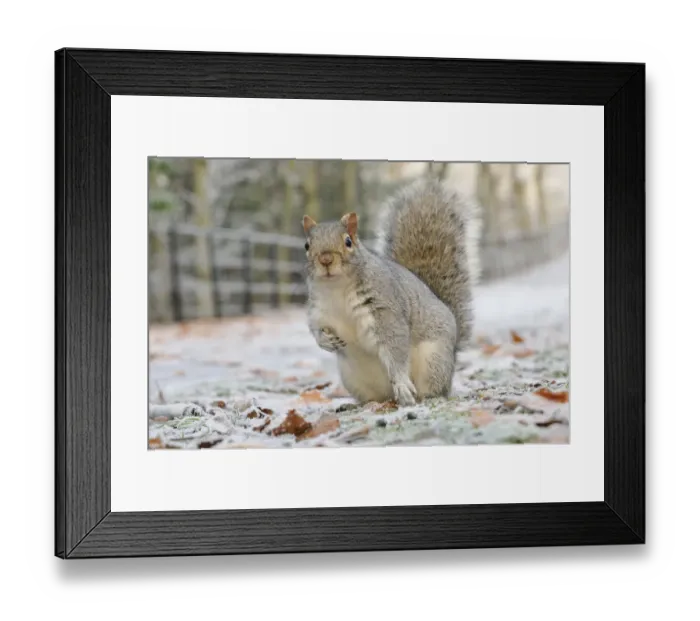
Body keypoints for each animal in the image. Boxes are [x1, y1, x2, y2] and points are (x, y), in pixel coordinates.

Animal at [301, 177, 482, 407]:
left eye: (348, 241)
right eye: (307, 245)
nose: (325, 259)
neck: (337, 289)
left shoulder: (385, 308)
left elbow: (395, 347)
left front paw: (402, 383)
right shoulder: (319, 311)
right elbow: (315, 328)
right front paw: (326, 341)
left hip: (433, 360)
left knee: (435, 388)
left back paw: (424, 397)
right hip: (351, 378)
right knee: (375, 397)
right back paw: (361, 404)